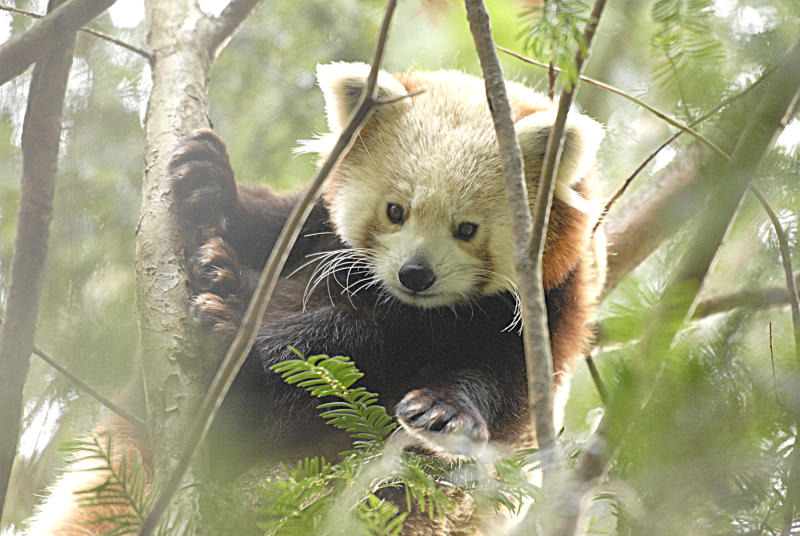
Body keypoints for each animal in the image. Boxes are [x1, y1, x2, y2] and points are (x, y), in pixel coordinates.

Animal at [25, 63, 604, 536]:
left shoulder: (539, 319)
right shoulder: (316, 228)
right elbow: (270, 225)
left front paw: (444, 411)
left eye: (466, 229)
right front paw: (210, 185)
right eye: (395, 211)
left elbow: (489, 383)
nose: (415, 275)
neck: (418, 314)